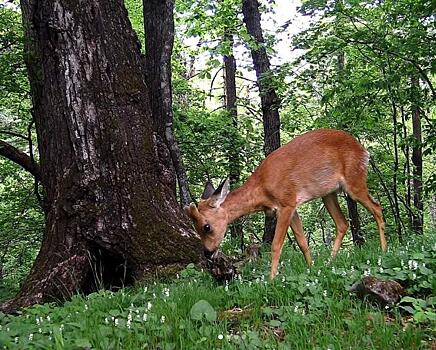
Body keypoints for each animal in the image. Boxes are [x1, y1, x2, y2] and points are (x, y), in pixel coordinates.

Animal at [186, 129, 386, 278]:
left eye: (206, 226)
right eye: (195, 227)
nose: (207, 252)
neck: (262, 189)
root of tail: (364, 150)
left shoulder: (286, 203)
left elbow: (275, 245)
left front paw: (271, 279)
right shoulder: (291, 207)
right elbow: (302, 241)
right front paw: (312, 268)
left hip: (354, 180)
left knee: (377, 207)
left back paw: (384, 250)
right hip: (328, 193)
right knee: (343, 223)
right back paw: (330, 262)